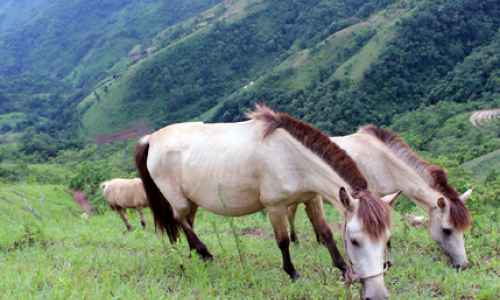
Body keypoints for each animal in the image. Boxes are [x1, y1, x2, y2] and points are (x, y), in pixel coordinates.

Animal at [134, 105, 398, 300]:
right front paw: (293, 274)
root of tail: (152, 138)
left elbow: (326, 233)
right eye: (355, 241)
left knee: (188, 221)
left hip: (193, 199)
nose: (377, 296)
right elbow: (283, 242)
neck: (290, 156)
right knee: (180, 219)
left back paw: (196, 253)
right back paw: (204, 252)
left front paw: (342, 268)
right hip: (178, 200)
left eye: (386, 239)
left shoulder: (312, 198)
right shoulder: (275, 206)